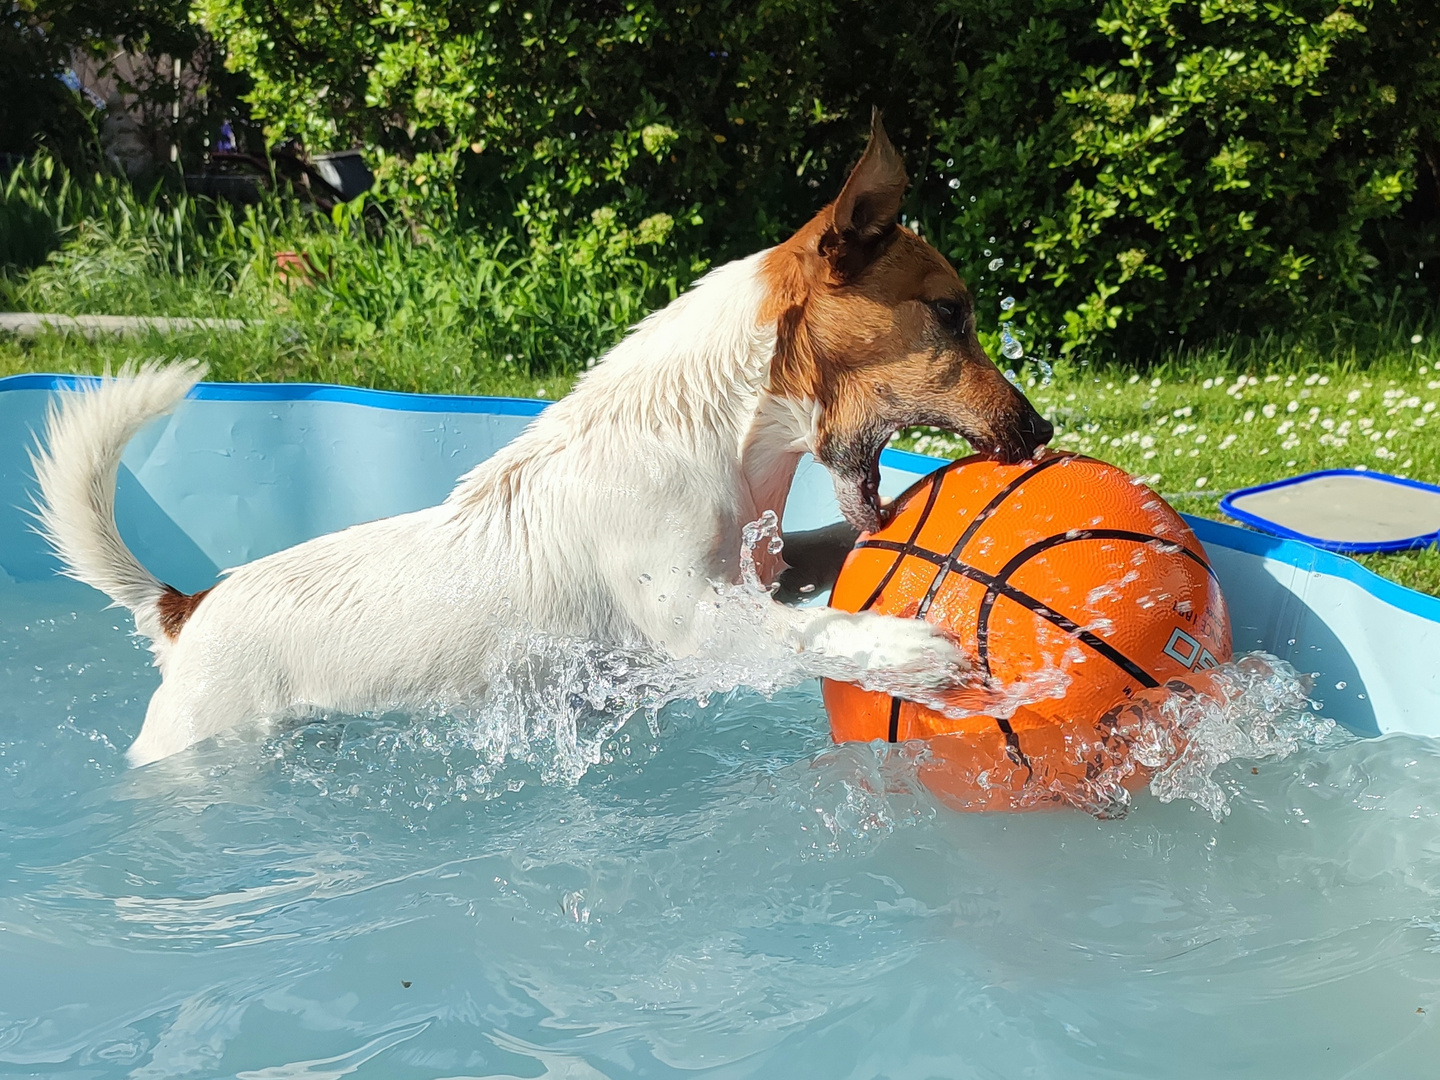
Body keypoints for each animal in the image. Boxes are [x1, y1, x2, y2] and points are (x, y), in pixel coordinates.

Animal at [28, 116, 1054, 771]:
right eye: (952, 316)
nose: (1042, 433)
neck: (707, 431)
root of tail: (185, 607)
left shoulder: (766, 564)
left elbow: (827, 555)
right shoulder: (696, 621)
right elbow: (813, 630)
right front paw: (907, 648)